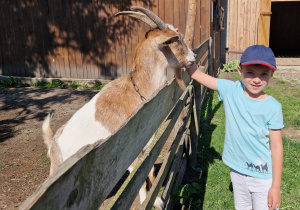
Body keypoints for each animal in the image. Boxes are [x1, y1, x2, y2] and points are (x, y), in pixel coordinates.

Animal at [42, 5, 197, 209]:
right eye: (176, 39)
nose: (194, 56)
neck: (137, 90)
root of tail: (54, 142)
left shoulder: (145, 144)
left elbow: (149, 170)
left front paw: (155, 198)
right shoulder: (130, 149)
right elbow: (138, 177)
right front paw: (149, 201)